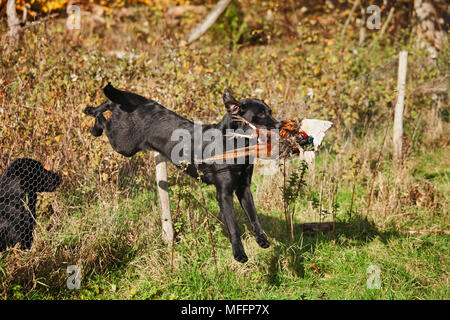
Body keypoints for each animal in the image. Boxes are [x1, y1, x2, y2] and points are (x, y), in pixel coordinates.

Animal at [83, 84, 282, 262]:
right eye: (261, 114)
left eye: (269, 111)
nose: (280, 125)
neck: (234, 144)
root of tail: (135, 101)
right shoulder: (224, 193)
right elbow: (233, 226)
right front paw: (239, 253)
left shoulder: (243, 188)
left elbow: (254, 216)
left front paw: (262, 239)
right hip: (123, 144)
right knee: (105, 116)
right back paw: (94, 123)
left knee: (110, 105)